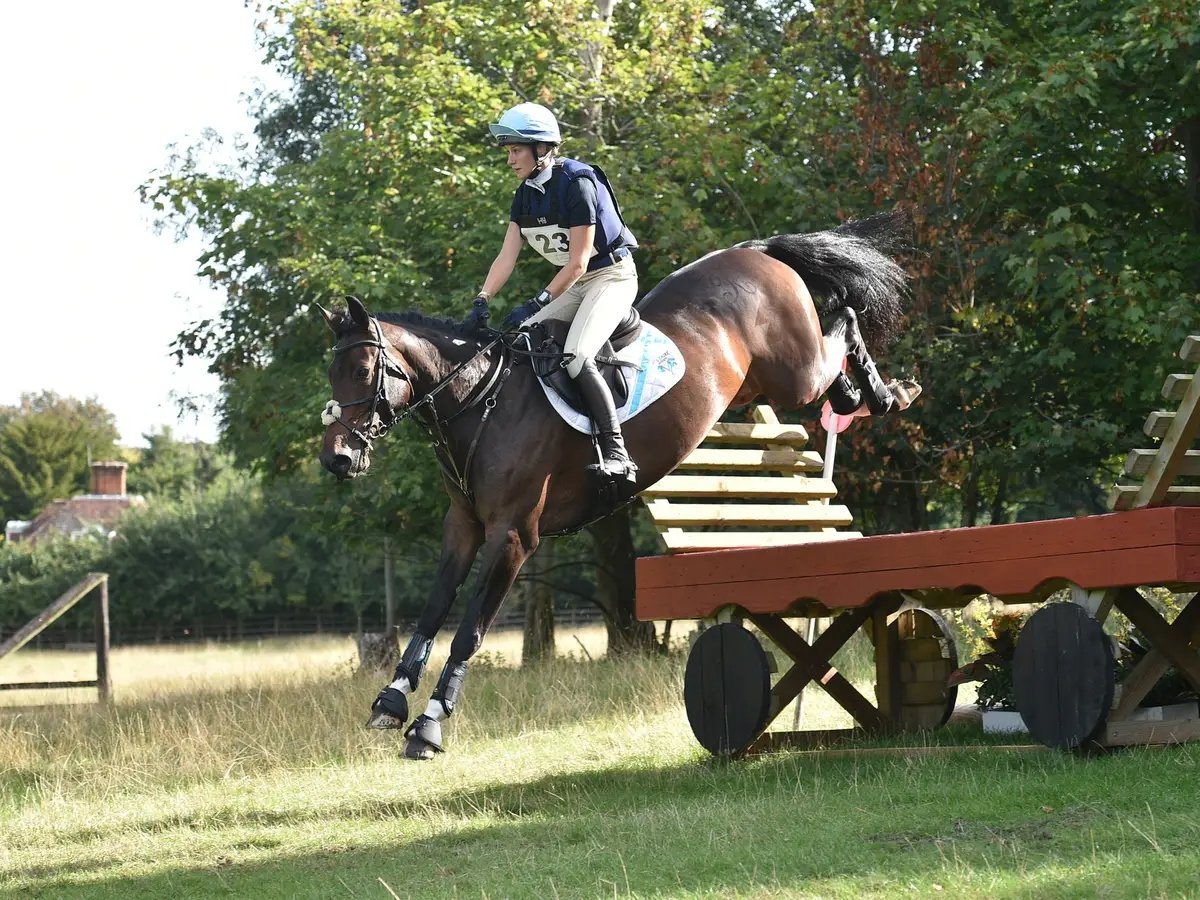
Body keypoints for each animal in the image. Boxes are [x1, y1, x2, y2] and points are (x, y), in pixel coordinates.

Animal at [317, 211, 918, 759]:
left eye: (364, 370)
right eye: (333, 373)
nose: (337, 459)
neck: (482, 398)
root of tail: (754, 250)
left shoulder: (513, 534)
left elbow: (470, 629)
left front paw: (430, 723)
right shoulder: (463, 526)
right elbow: (433, 610)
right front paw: (392, 700)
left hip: (793, 372)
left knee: (843, 321)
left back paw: (886, 393)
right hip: (765, 381)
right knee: (833, 348)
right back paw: (858, 396)